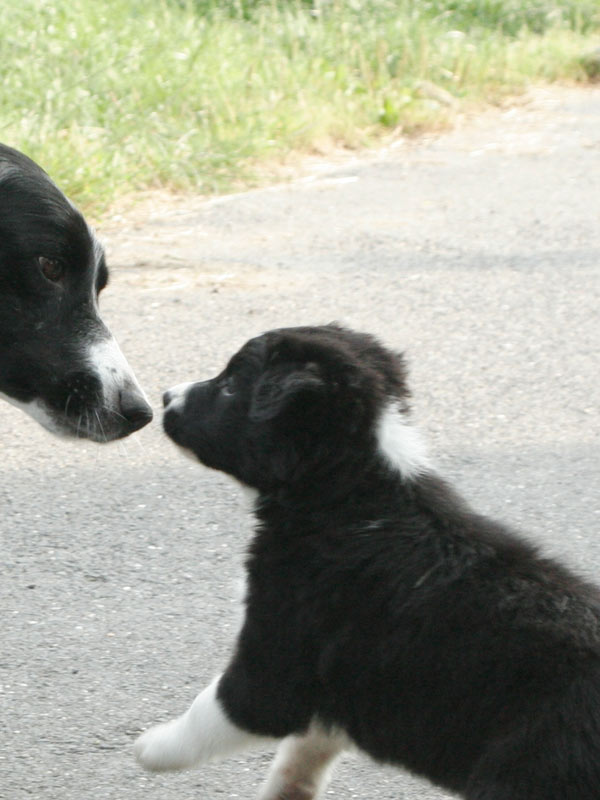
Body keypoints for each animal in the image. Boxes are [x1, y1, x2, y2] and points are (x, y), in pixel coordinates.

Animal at [136, 324, 600, 800]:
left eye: (230, 385)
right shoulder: (338, 682)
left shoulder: (280, 657)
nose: (166, 396)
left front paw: (153, 747)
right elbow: (307, 747)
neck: (351, 493)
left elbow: (216, 709)